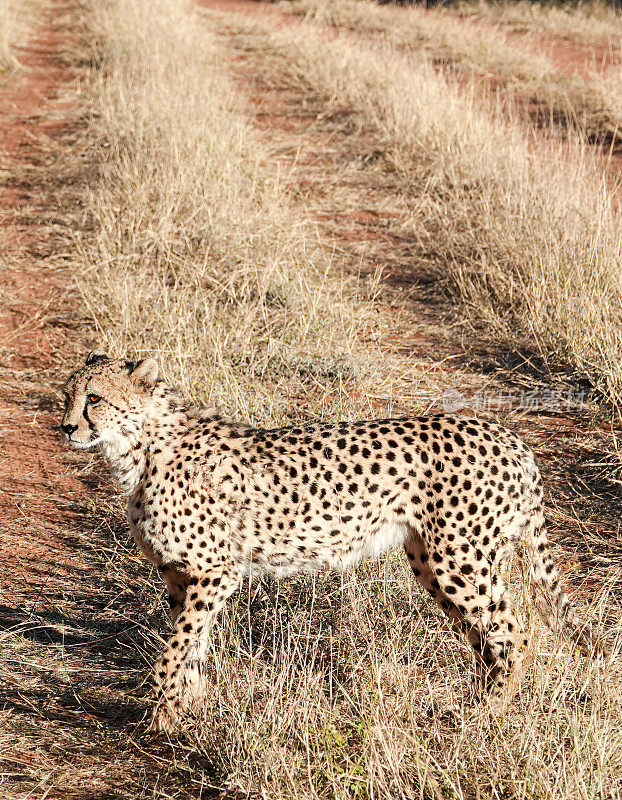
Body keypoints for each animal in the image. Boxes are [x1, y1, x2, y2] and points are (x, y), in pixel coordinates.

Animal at [61, 354, 604, 732]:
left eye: (95, 399)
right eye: (67, 394)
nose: (66, 427)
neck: (140, 447)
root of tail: (507, 434)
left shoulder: (216, 571)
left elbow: (174, 649)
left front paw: (162, 717)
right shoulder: (182, 576)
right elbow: (191, 644)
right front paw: (186, 709)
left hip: (458, 558)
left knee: (514, 633)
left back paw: (485, 716)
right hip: (432, 559)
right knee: (487, 637)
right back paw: (475, 704)